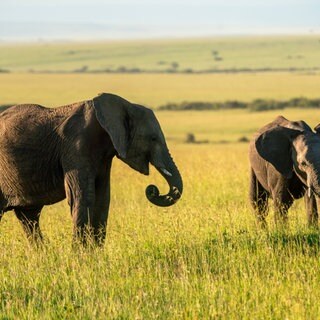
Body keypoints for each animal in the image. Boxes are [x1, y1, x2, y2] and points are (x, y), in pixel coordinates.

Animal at [0, 92, 182, 245]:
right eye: (153, 138)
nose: (153, 189)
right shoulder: (76, 147)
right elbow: (81, 197)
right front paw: (80, 257)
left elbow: (102, 198)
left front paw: (95, 255)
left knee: (29, 218)